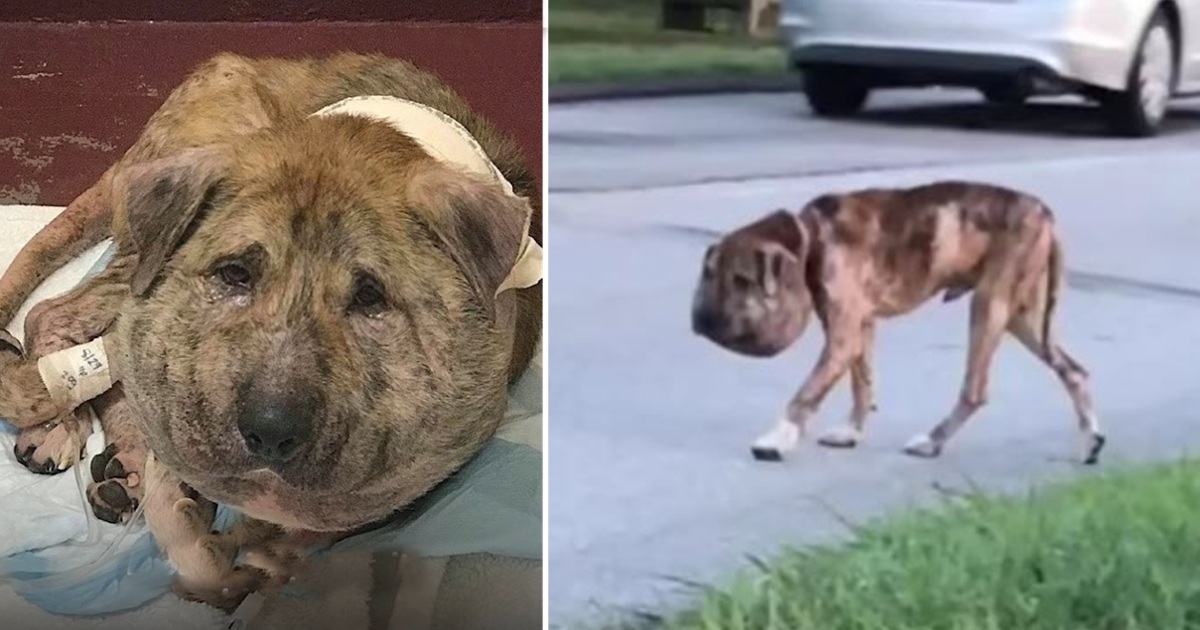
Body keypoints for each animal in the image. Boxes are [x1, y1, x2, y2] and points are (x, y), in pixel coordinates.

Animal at [696, 178, 1104, 463]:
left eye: (743, 280)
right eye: (712, 275)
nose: (702, 321)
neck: (812, 238)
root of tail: (1044, 213)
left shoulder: (842, 338)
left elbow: (807, 393)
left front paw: (778, 437)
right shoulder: (858, 331)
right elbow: (862, 384)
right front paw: (851, 431)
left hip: (989, 307)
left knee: (974, 390)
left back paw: (933, 441)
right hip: (1023, 320)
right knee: (1074, 371)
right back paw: (1091, 440)